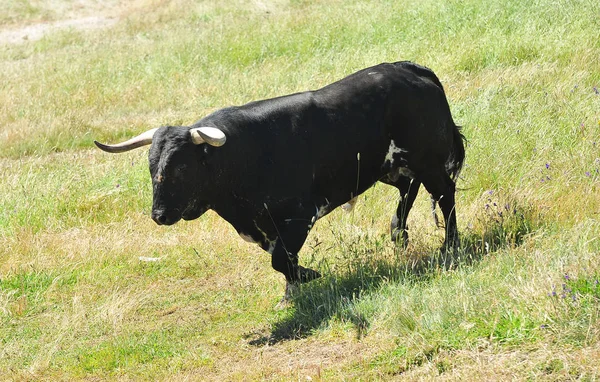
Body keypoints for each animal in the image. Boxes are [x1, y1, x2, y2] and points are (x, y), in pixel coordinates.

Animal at [96, 60, 466, 298]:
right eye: (151, 167)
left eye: (181, 168)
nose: (158, 215)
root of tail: (411, 69)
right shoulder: (268, 228)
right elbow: (283, 260)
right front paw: (294, 289)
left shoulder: (298, 215)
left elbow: (280, 259)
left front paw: (307, 277)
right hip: (393, 166)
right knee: (409, 188)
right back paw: (398, 234)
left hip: (428, 161)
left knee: (444, 194)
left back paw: (450, 247)